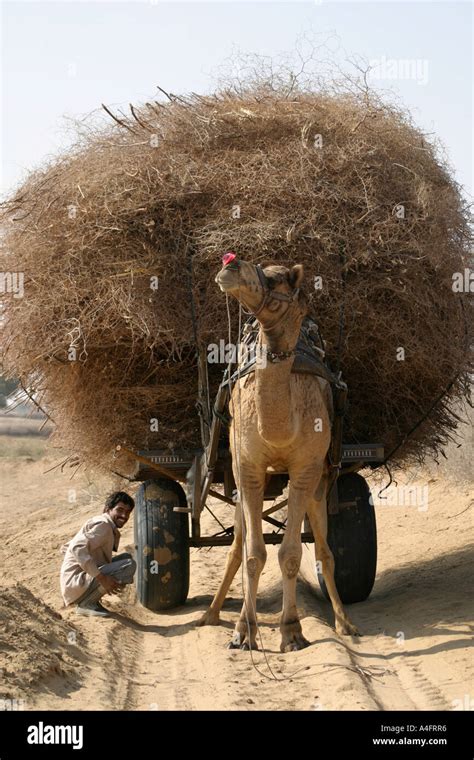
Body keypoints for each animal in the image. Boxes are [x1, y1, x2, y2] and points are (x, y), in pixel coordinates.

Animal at [197, 256, 360, 652]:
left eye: (277, 280)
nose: (229, 264)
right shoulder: (248, 468)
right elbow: (253, 553)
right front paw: (244, 631)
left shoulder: (305, 470)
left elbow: (291, 553)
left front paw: (292, 630)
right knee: (236, 546)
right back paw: (210, 614)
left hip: (321, 482)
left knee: (324, 550)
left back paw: (345, 622)